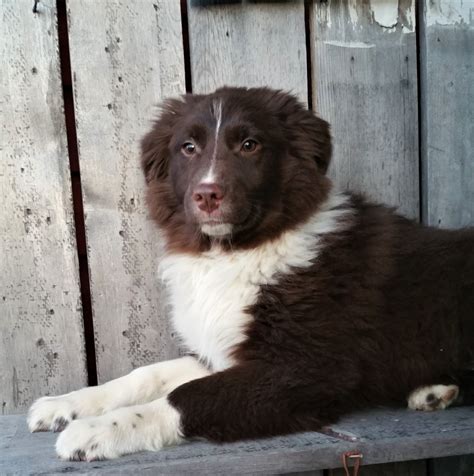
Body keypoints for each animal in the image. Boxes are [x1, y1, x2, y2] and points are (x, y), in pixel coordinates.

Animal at [27, 87, 472, 460]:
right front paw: (68, 403)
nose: (206, 195)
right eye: (188, 148)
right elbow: (146, 374)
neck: (232, 252)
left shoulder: (305, 367)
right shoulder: (225, 348)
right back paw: (433, 392)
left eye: (249, 145)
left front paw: (98, 430)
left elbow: (188, 395)